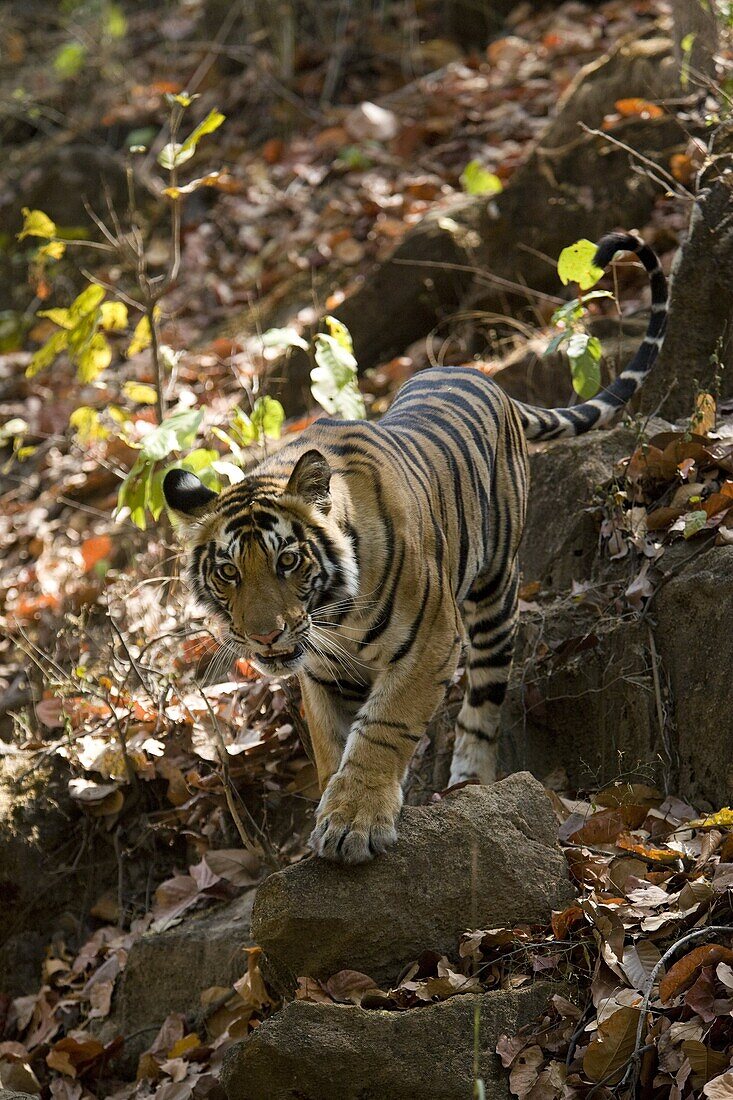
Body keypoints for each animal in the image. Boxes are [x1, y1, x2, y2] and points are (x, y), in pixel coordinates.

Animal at [165, 236, 669, 862]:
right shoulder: (323, 674)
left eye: (288, 560)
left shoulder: (431, 641)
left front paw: (353, 821)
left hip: (492, 596)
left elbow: (383, 730)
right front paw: (334, 809)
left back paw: (468, 785)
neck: (335, 618)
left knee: (484, 698)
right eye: (229, 572)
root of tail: (484, 376)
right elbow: (333, 745)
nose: (262, 637)